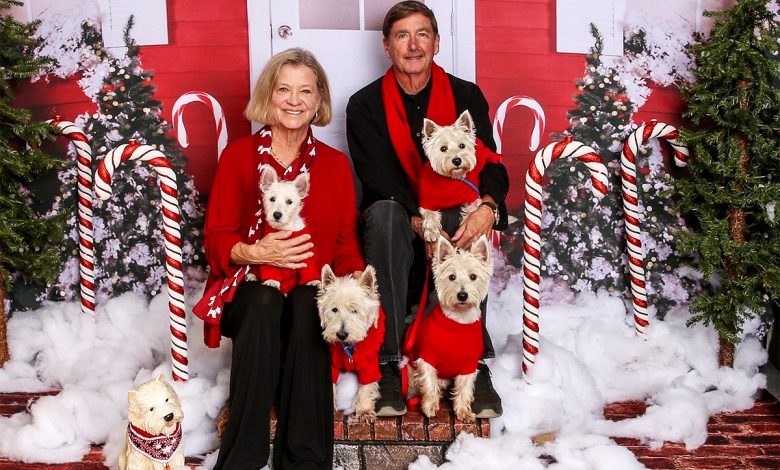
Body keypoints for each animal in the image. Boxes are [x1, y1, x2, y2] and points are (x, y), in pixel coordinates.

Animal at [258, 163, 320, 292]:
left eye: (289, 201)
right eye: (272, 199)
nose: (277, 215)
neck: (286, 228)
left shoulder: (306, 254)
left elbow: (310, 268)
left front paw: (314, 281)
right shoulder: (269, 256)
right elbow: (271, 270)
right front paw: (271, 281)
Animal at [316, 264, 384, 422]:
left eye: (354, 310)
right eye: (334, 309)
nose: (341, 334)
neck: (349, 345)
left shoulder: (369, 364)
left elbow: (366, 387)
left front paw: (365, 411)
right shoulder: (333, 365)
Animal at [408, 237, 494, 420]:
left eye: (473, 276)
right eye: (451, 277)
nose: (462, 295)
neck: (459, 322)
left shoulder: (468, 365)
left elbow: (464, 388)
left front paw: (462, 411)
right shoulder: (427, 357)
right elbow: (429, 381)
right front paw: (430, 405)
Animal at [420, 109, 482, 242]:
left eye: (462, 145)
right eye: (443, 148)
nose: (457, 161)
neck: (451, 179)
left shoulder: (473, 197)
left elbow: (472, 211)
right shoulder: (427, 202)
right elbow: (429, 214)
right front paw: (431, 232)